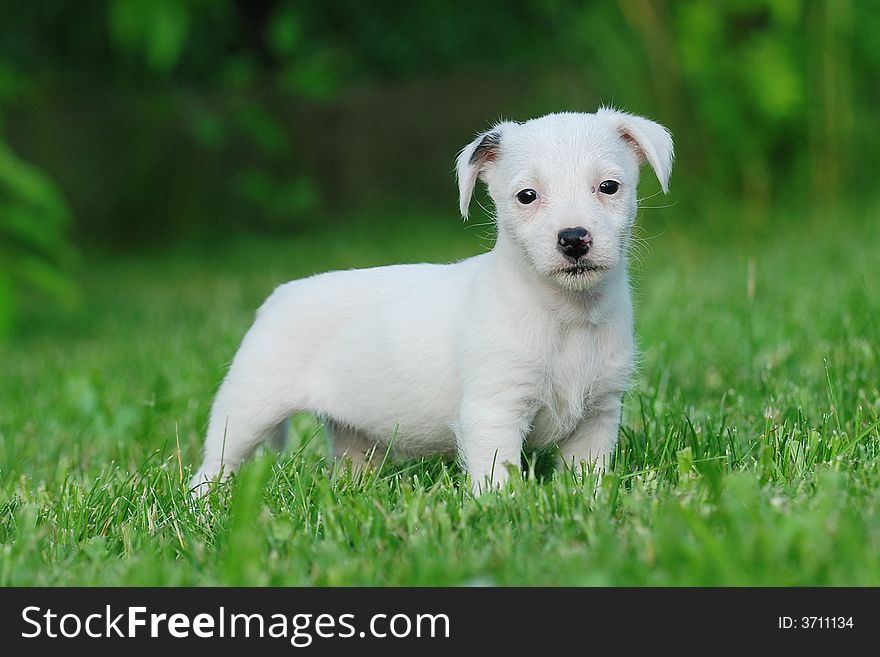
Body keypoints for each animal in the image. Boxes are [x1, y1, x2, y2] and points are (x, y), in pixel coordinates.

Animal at [192, 107, 672, 490]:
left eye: (609, 187)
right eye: (527, 196)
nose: (574, 239)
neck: (567, 315)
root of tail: (278, 295)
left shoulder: (597, 417)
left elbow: (588, 477)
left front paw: (589, 502)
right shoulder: (493, 412)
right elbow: (497, 477)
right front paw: (500, 509)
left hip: (352, 432)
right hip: (248, 406)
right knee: (217, 462)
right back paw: (203, 502)